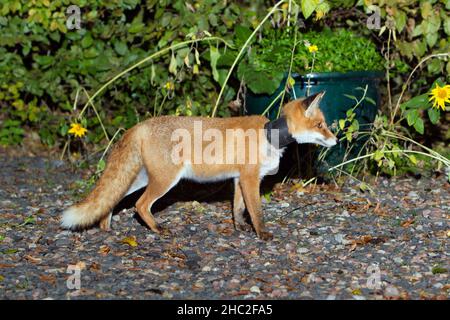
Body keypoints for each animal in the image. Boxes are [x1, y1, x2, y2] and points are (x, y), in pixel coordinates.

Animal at [62, 91, 338, 239]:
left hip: (141, 179)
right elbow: (256, 212)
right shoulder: (250, 179)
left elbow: (238, 209)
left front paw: (239, 228)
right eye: (320, 126)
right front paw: (262, 234)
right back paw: (158, 229)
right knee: (139, 206)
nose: (336, 140)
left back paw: (105, 226)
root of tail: (140, 125)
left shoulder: (239, 179)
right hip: (166, 181)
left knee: (112, 199)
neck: (270, 135)